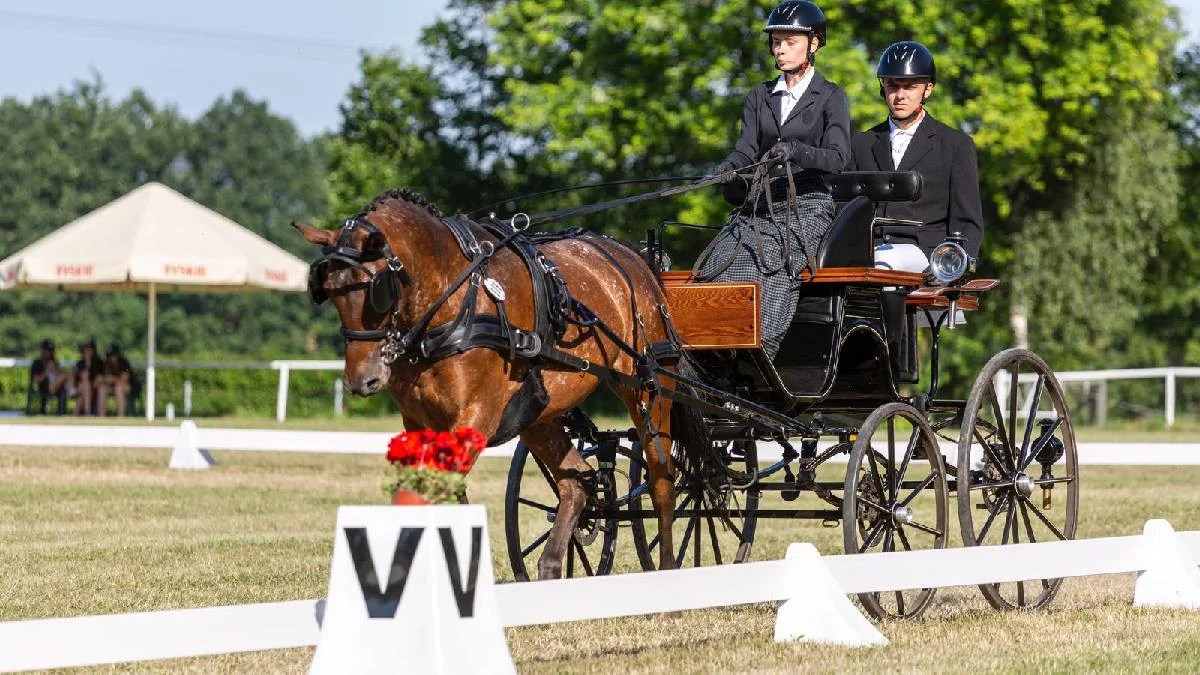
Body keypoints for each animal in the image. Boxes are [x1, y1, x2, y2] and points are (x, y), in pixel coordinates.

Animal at [295, 186, 681, 576]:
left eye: (376, 290)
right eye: (327, 290)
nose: (362, 380)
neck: (453, 303)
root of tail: (633, 258)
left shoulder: (477, 414)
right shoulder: (419, 422)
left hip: (648, 389)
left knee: (662, 479)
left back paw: (668, 570)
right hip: (538, 414)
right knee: (576, 480)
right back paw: (550, 568)